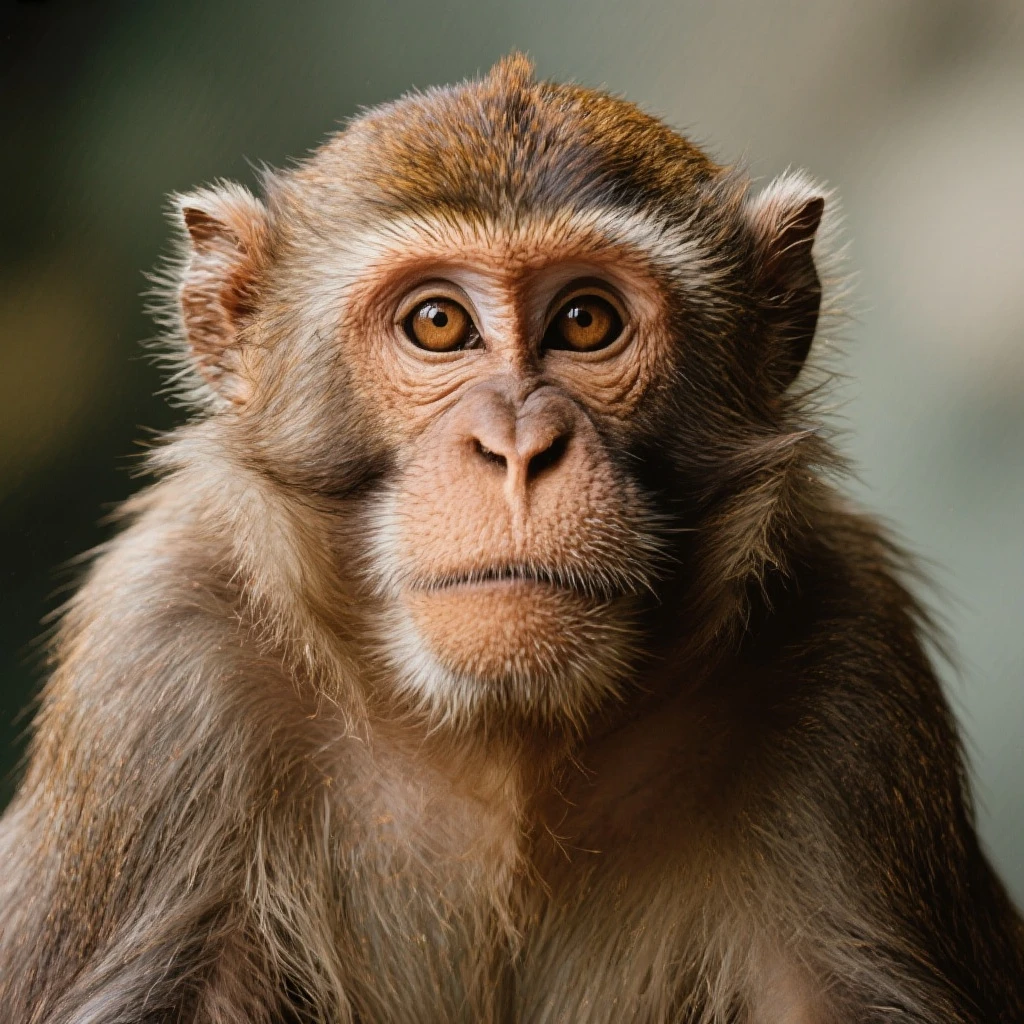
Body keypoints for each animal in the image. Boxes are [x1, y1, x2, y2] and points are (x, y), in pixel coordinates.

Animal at [0, 52, 1022, 1024]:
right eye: (437, 322)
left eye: (585, 320)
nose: (519, 449)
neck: (502, 746)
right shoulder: (158, 664)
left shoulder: (850, 662)